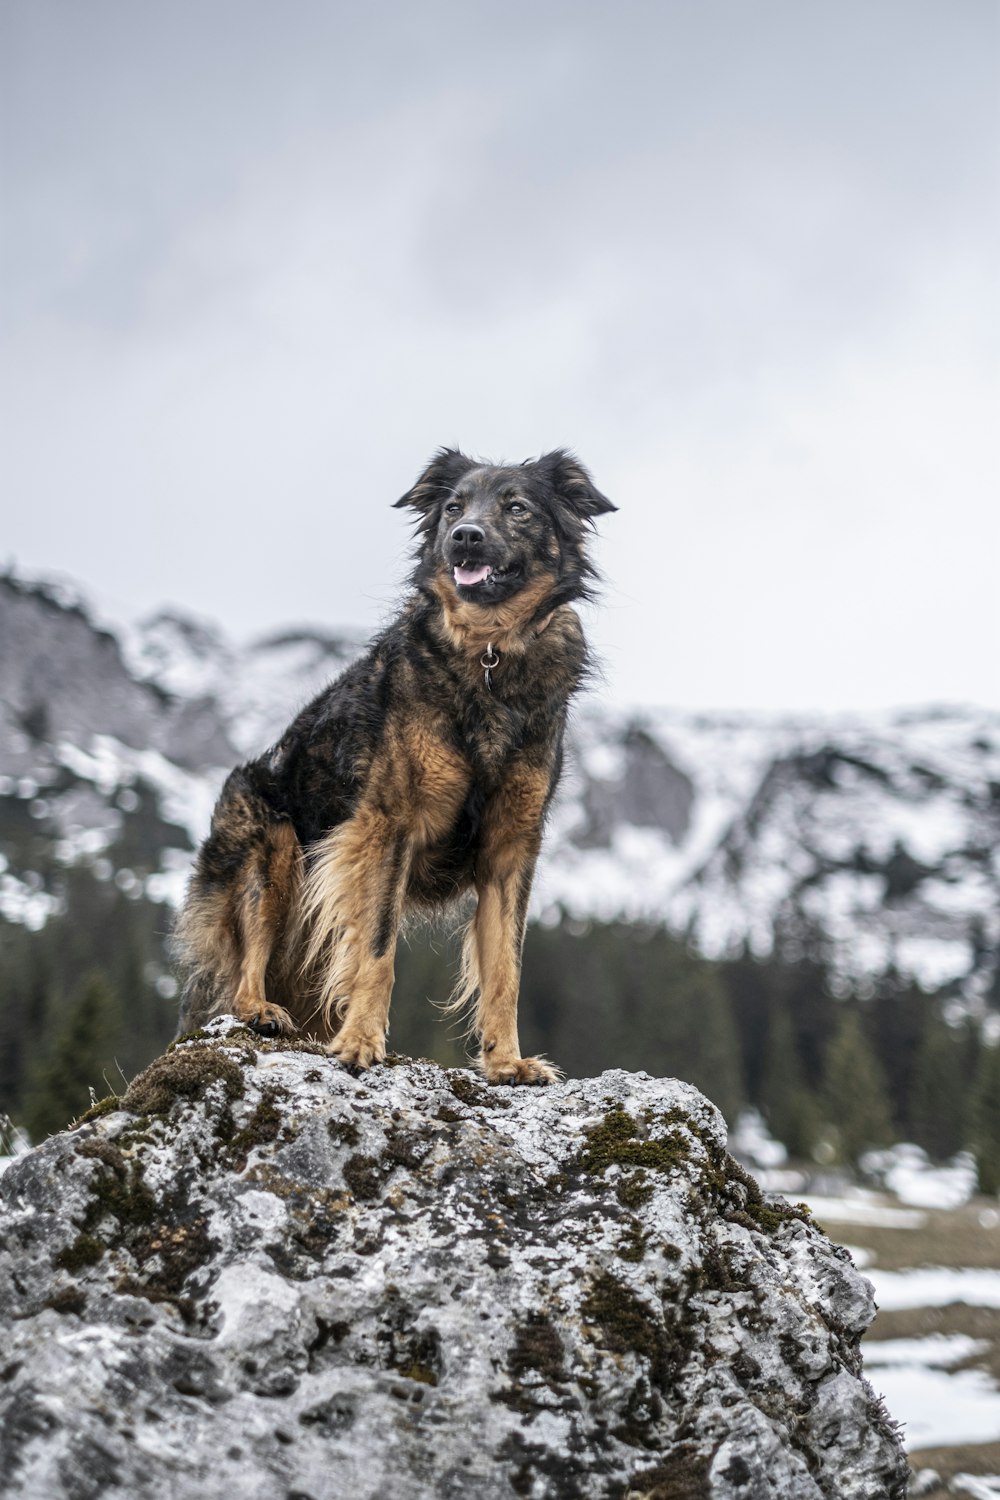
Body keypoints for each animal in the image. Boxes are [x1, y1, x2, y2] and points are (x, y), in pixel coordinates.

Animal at [177, 444, 617, 1080]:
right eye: (454, 506)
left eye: (517, 508)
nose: (464, 536)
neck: (487, 655)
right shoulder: (388, 826)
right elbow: (377, 950)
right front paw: (361, 1040)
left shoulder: (511, 846)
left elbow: (505, 968)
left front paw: (507, 1062)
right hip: (272, 848)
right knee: (242, 969)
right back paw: (261, 1010)